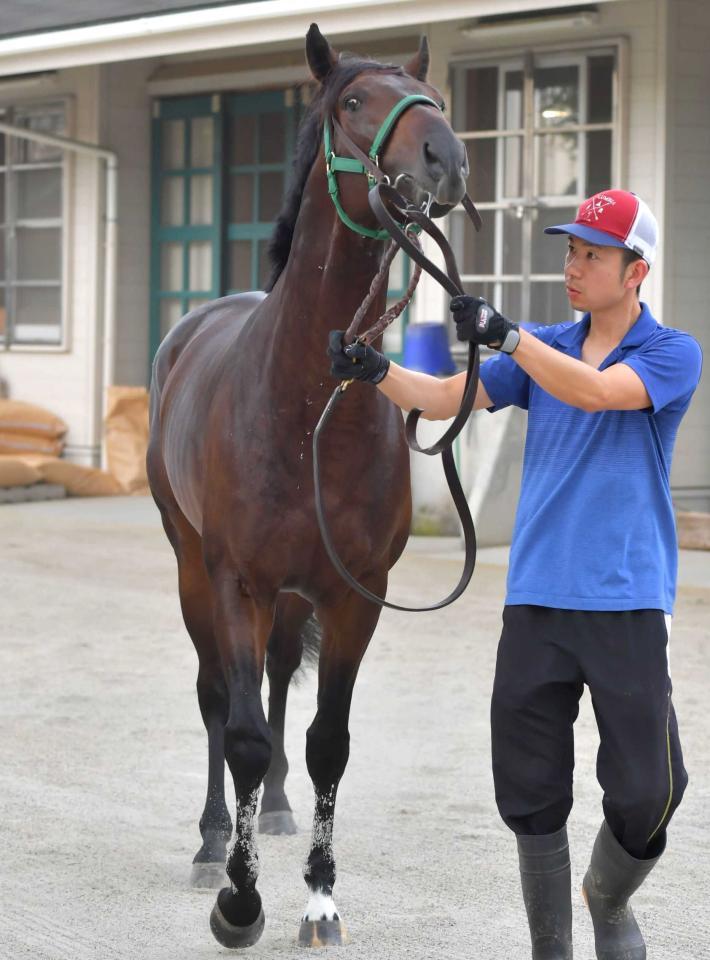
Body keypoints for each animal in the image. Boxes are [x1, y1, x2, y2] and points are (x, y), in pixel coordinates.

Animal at [147, 24, 470, 952]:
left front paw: (320, 899)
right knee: (218, 698)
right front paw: (239, 900)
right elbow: (243, 733)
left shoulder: (354, 593)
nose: (445, 157)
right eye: (355, 101)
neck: (305, 405)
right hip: (193, 568)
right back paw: (213, 841)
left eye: (434, 98)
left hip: (292, 599)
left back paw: (279, 810)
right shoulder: (234, 581)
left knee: (279, 682)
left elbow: (328, 740)